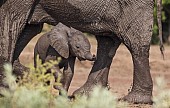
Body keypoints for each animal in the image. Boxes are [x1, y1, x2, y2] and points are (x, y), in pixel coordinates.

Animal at [0, 0, 163, 104]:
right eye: (77, 47)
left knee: (134, 42)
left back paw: (134, 100)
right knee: (106, 40)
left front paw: (5, 91)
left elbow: (9, 20)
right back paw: (84, 95)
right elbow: (24, 28)